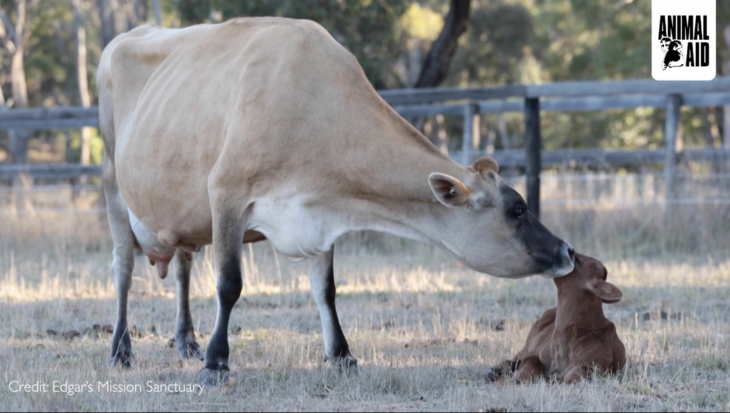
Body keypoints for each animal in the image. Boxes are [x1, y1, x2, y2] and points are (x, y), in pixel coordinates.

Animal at [98, 16, 576, 384]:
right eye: (517, 210)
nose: (568, 250)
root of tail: (127, 36)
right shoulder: (226, 193)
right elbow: (229, 284)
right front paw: (217, 363)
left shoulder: (320, 214)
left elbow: (325, 291)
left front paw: (342, 355)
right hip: (113, 184)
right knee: (122, 269)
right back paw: (121, 350)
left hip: (179, 215)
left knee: (182, 264)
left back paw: (186, 342)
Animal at [486, 251, 624, 384]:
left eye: (579, 261)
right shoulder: (534, 354)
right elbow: (530, 370)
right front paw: (505, 381)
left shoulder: (594, 366)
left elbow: (572, 377)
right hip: (528, 340)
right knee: (512, 359)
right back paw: (493, 372)